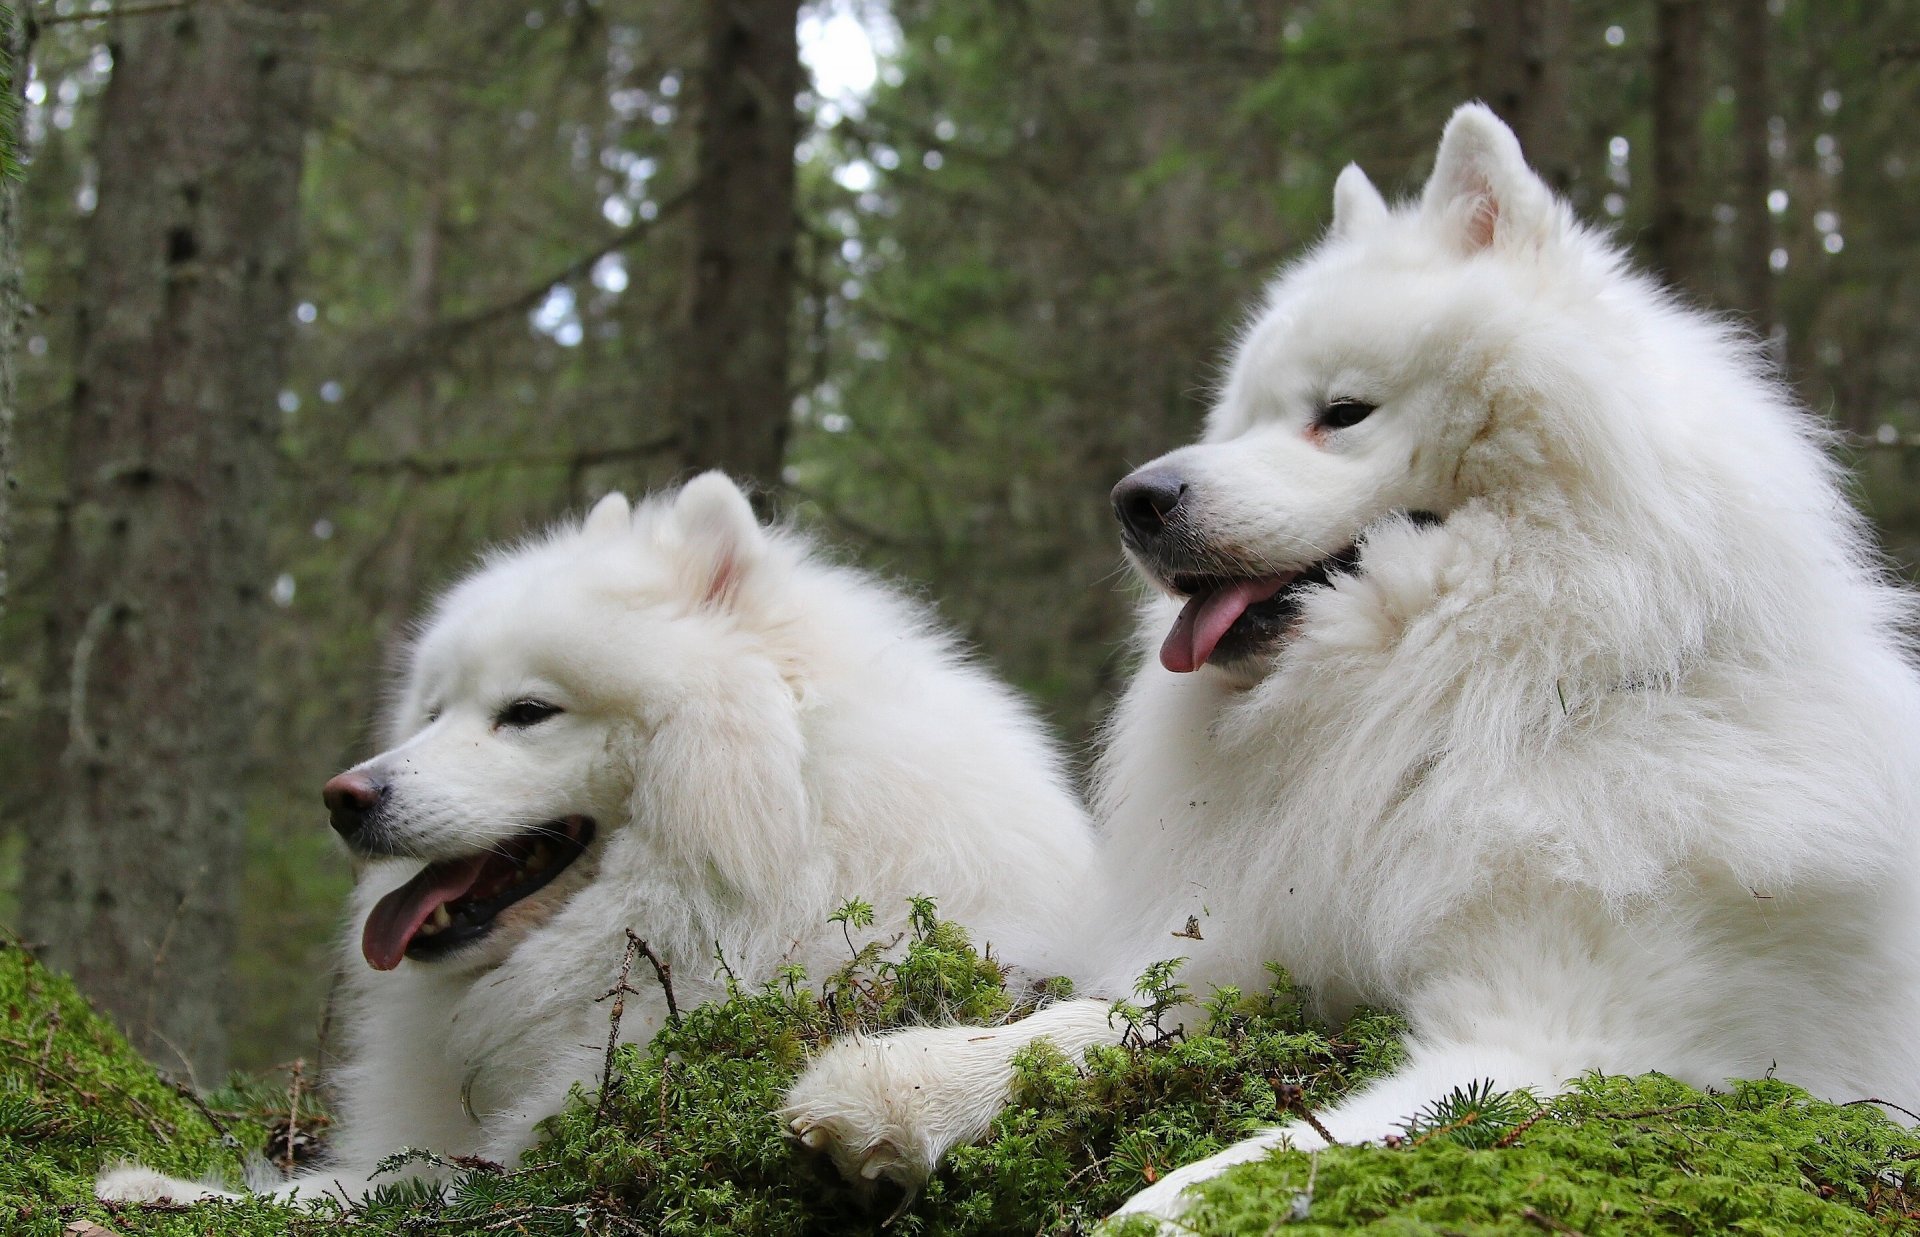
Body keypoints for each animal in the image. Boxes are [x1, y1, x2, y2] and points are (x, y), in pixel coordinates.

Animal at [775, 106, 1920, 1229]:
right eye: (1239, 417)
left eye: (1343, 412)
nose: (1135, 500)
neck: (1476, 704)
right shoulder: (1264, 942)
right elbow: (1091, 1022)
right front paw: (909, 1079)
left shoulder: (1565, 1044)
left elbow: (1240, 1170)